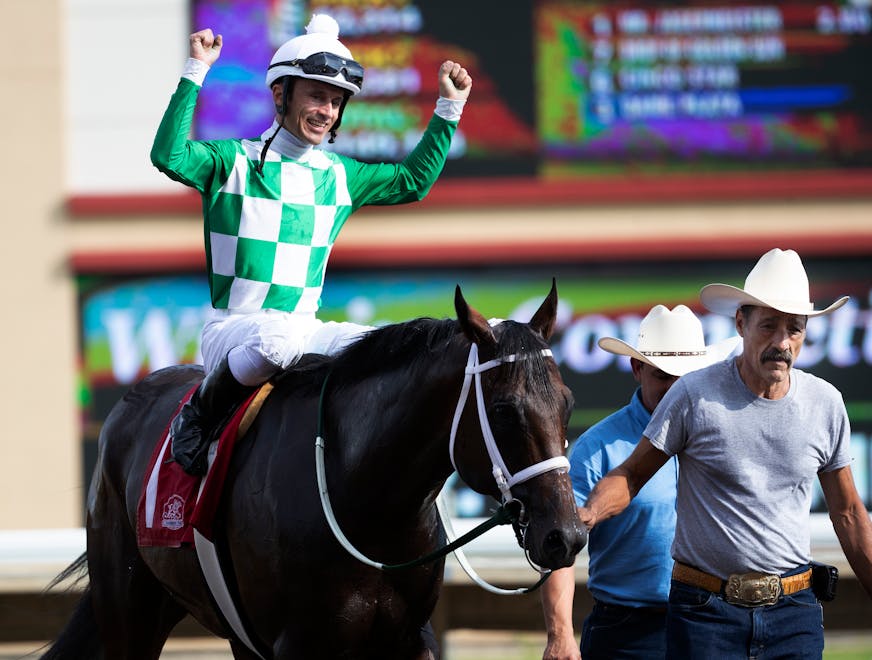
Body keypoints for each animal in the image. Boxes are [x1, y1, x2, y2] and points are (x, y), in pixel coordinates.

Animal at [42, 284, 584, 660]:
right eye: (506, 411)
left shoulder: (407, 638)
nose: (568, 536)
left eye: (567, 403)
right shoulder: (298, 643)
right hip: (130, 610)